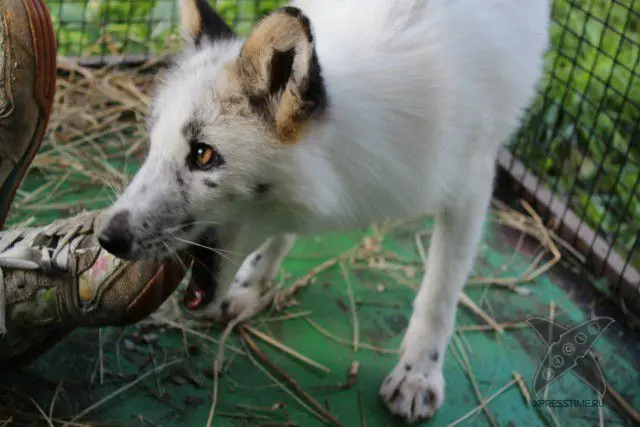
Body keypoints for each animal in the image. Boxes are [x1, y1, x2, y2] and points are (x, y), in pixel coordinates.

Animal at [98, 0, 549, 422]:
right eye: (152, 141)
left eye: (202, 155)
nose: (107, 238)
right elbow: (278, 235)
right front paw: (250, 286)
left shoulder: (472, 185)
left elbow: (439, 294)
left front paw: (419, 373)